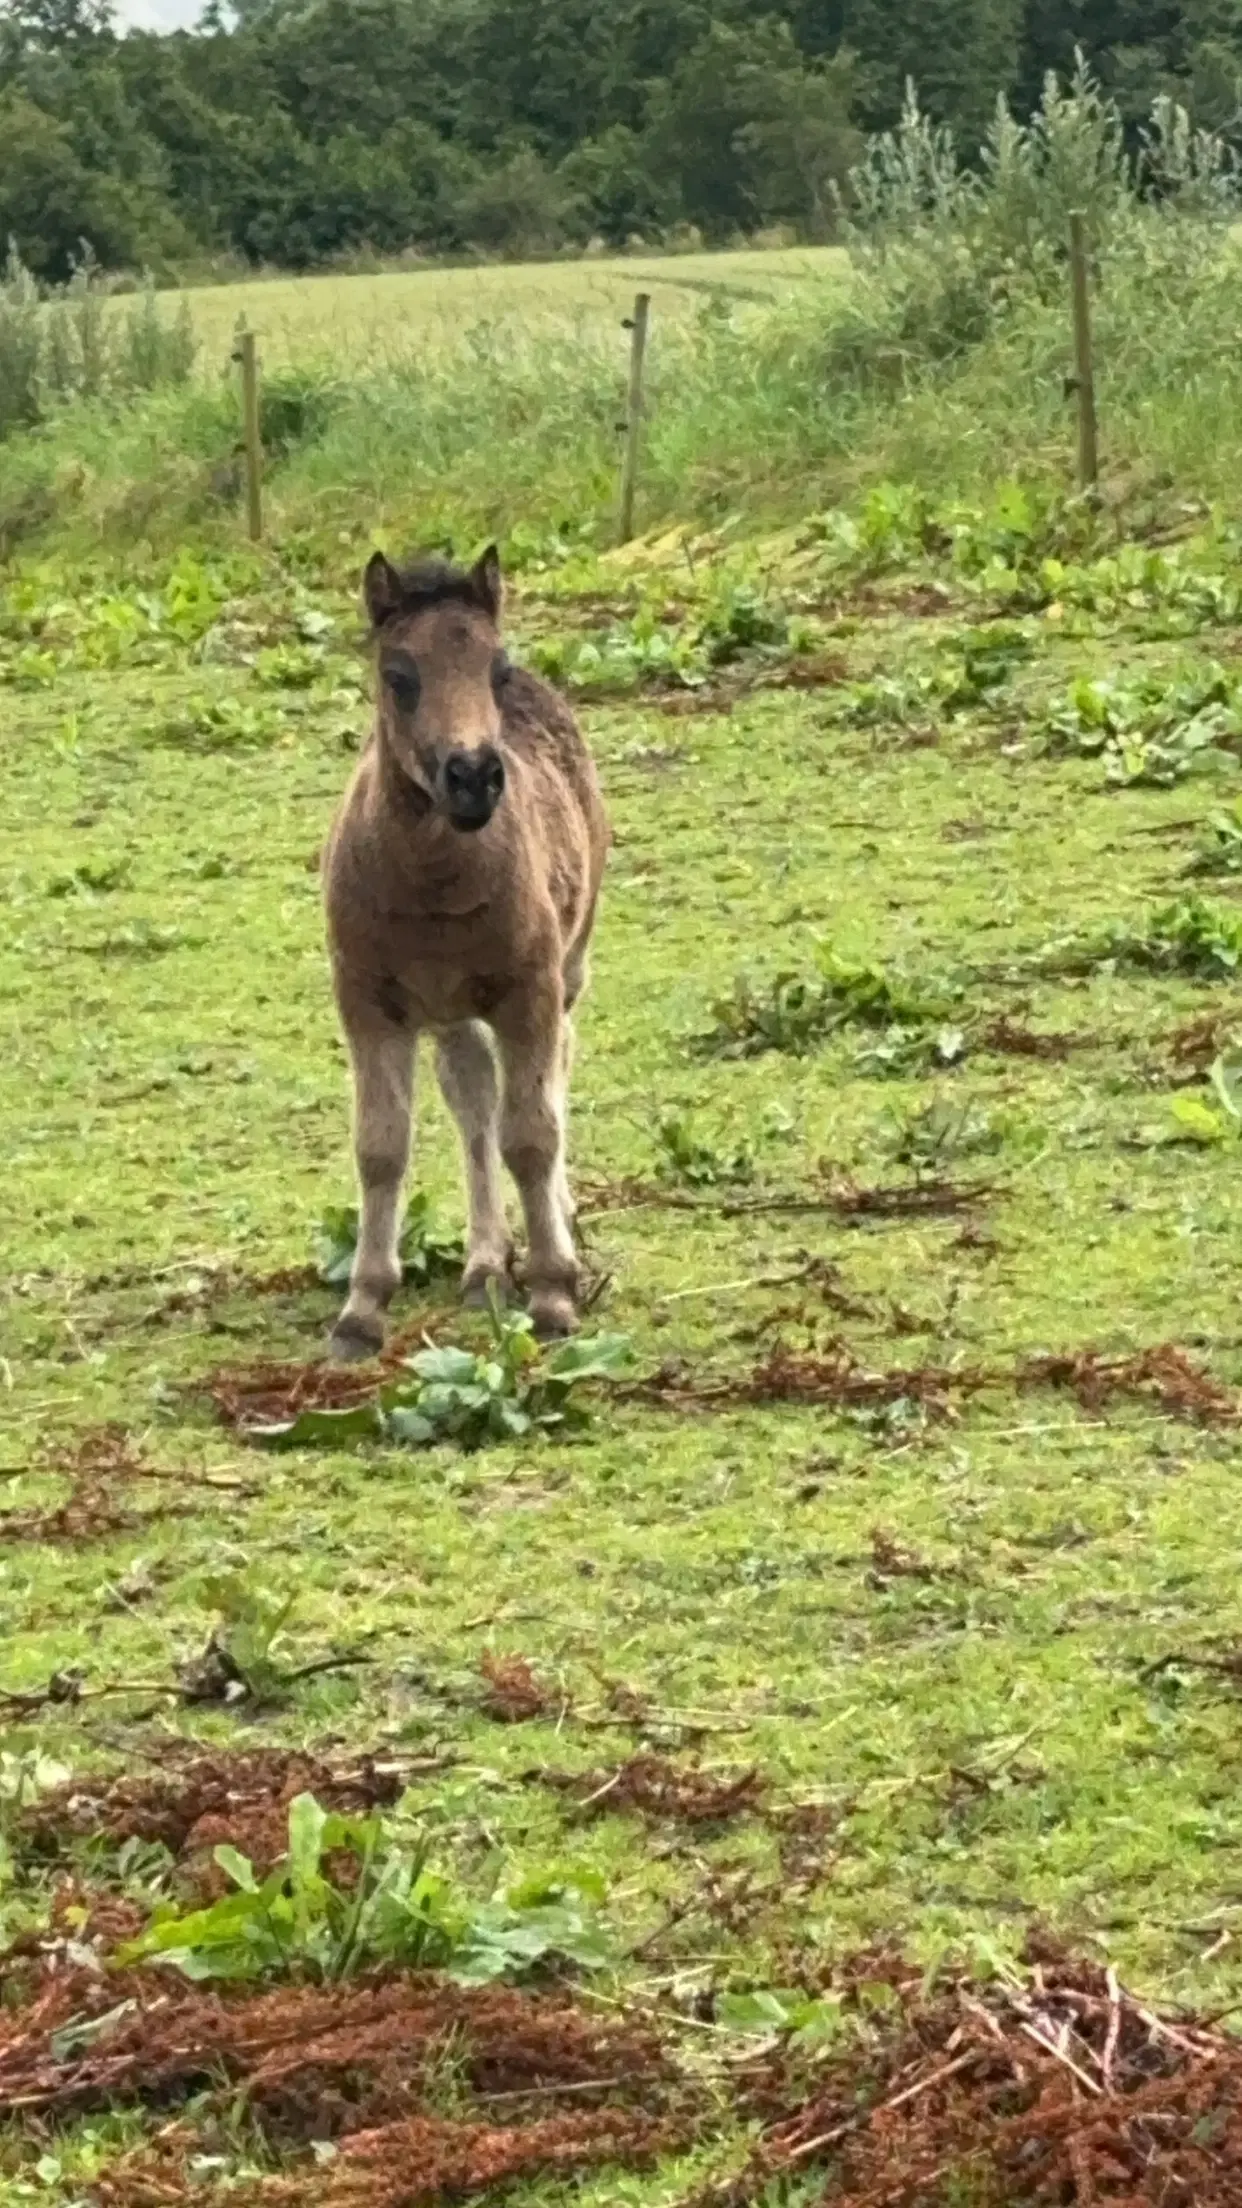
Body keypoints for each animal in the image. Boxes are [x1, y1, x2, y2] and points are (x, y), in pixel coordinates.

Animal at [320, 543, 605, 1351]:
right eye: (398, 675)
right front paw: (362, 1308)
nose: (474, 776)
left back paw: (554, 1230)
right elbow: (381, 1146)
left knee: (554, 1072)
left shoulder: (530, 990)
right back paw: (483, 1269)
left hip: (567, 969)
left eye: (495, 669)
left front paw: (553, 1292)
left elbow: (532, 1135)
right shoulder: (367, 1003)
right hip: (448, 1008)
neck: (433, 886)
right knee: (472, 1095)